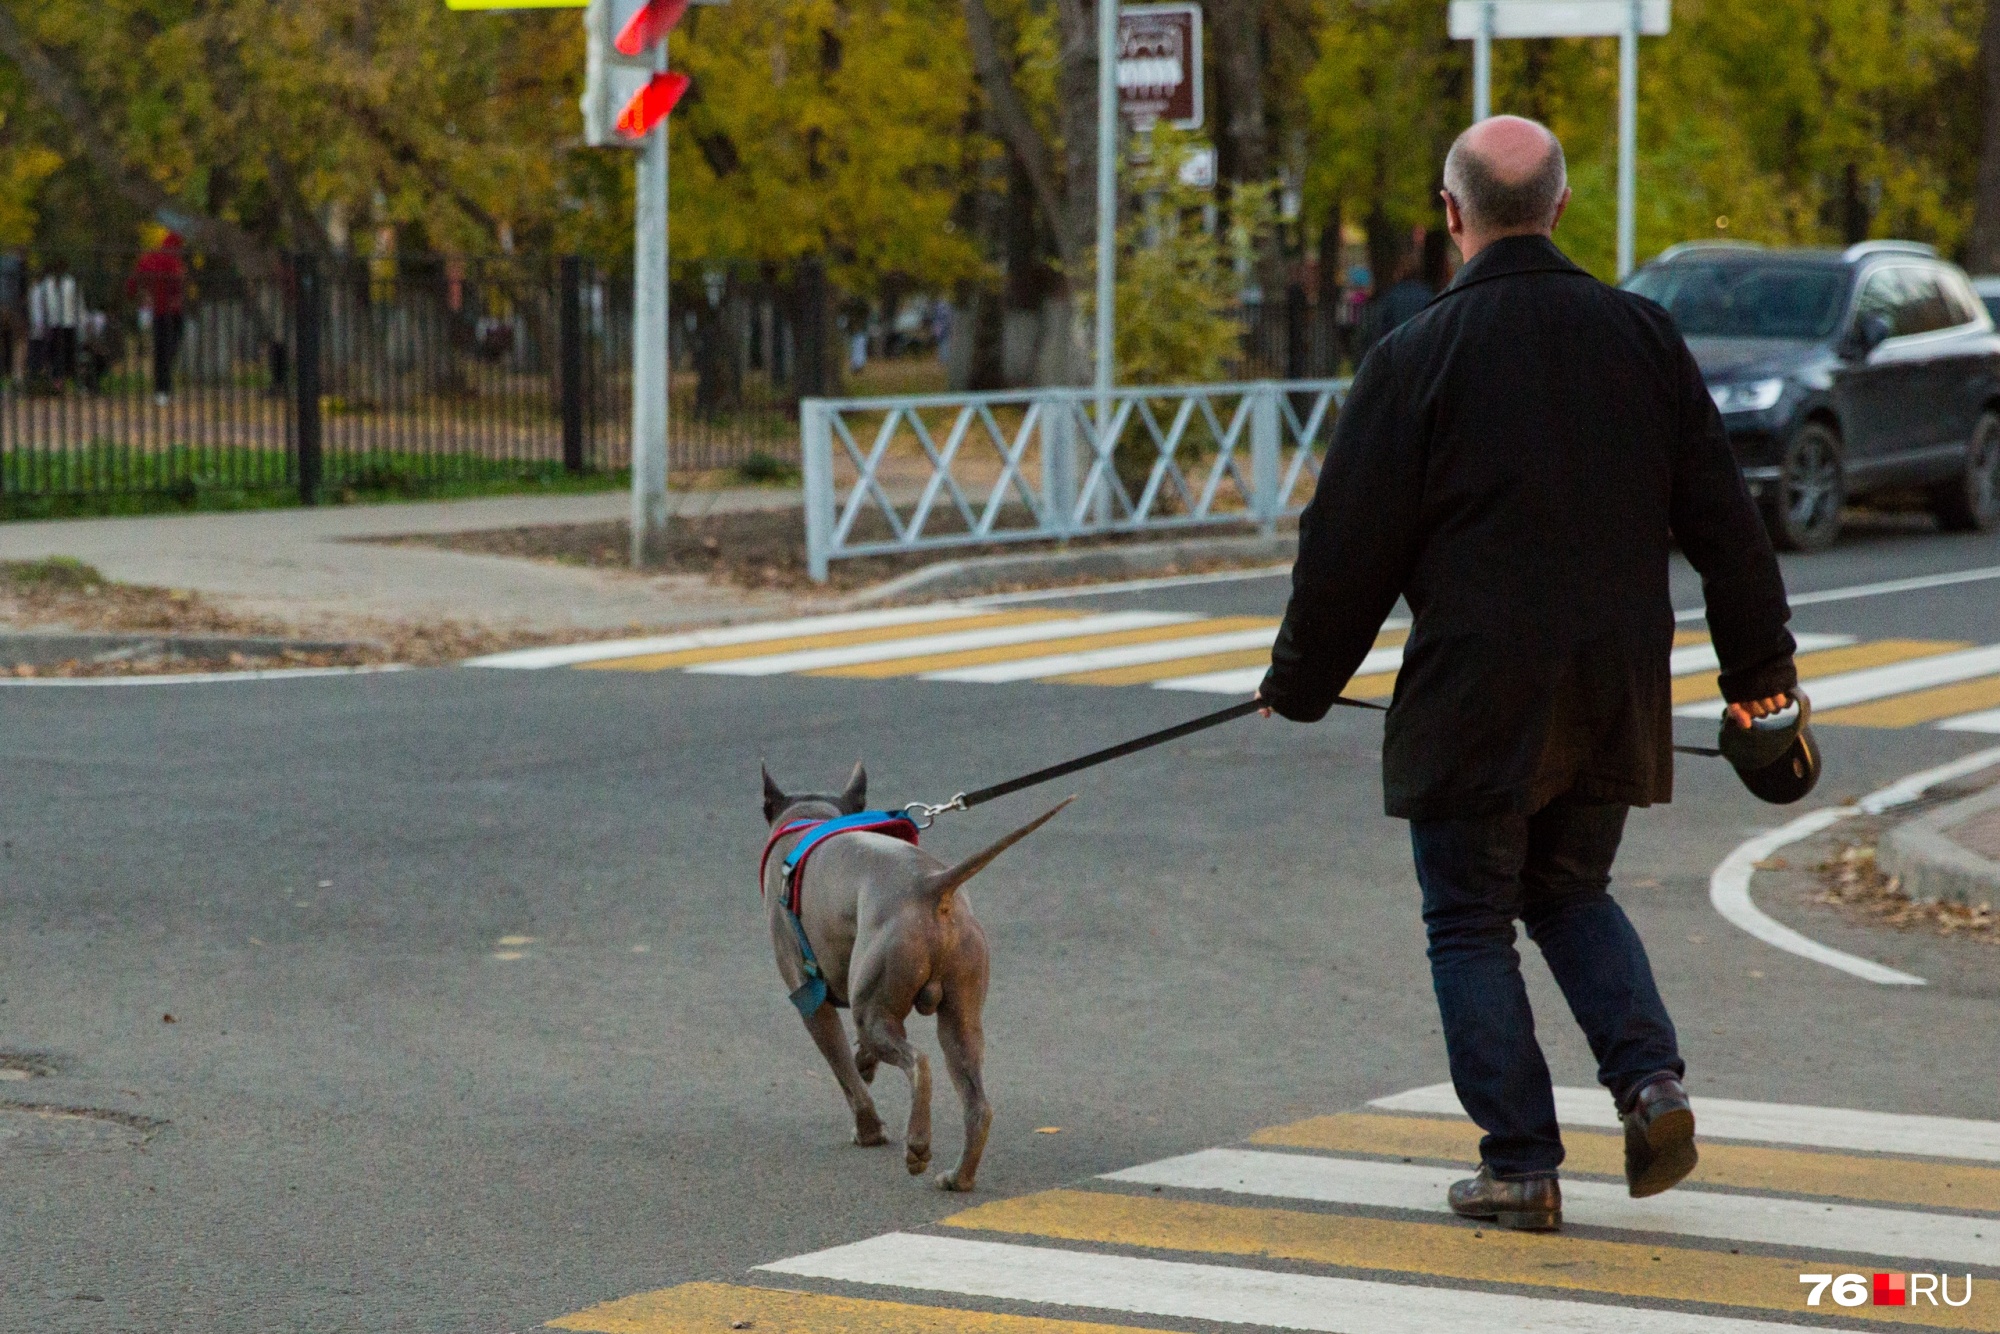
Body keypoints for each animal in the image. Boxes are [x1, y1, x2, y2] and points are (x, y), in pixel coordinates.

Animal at [764, 768, 1080, 1192]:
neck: (812, 816)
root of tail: (931, 886)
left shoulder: (810, 1001)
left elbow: (846, 1075)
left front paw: (868, 1131)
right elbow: (856, 1063)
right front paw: (864, 1065)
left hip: (876, 1009)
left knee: (919, 1061)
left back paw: (916, 1146)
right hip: (960, 1014)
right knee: (976, 1100)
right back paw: (959, 1176)